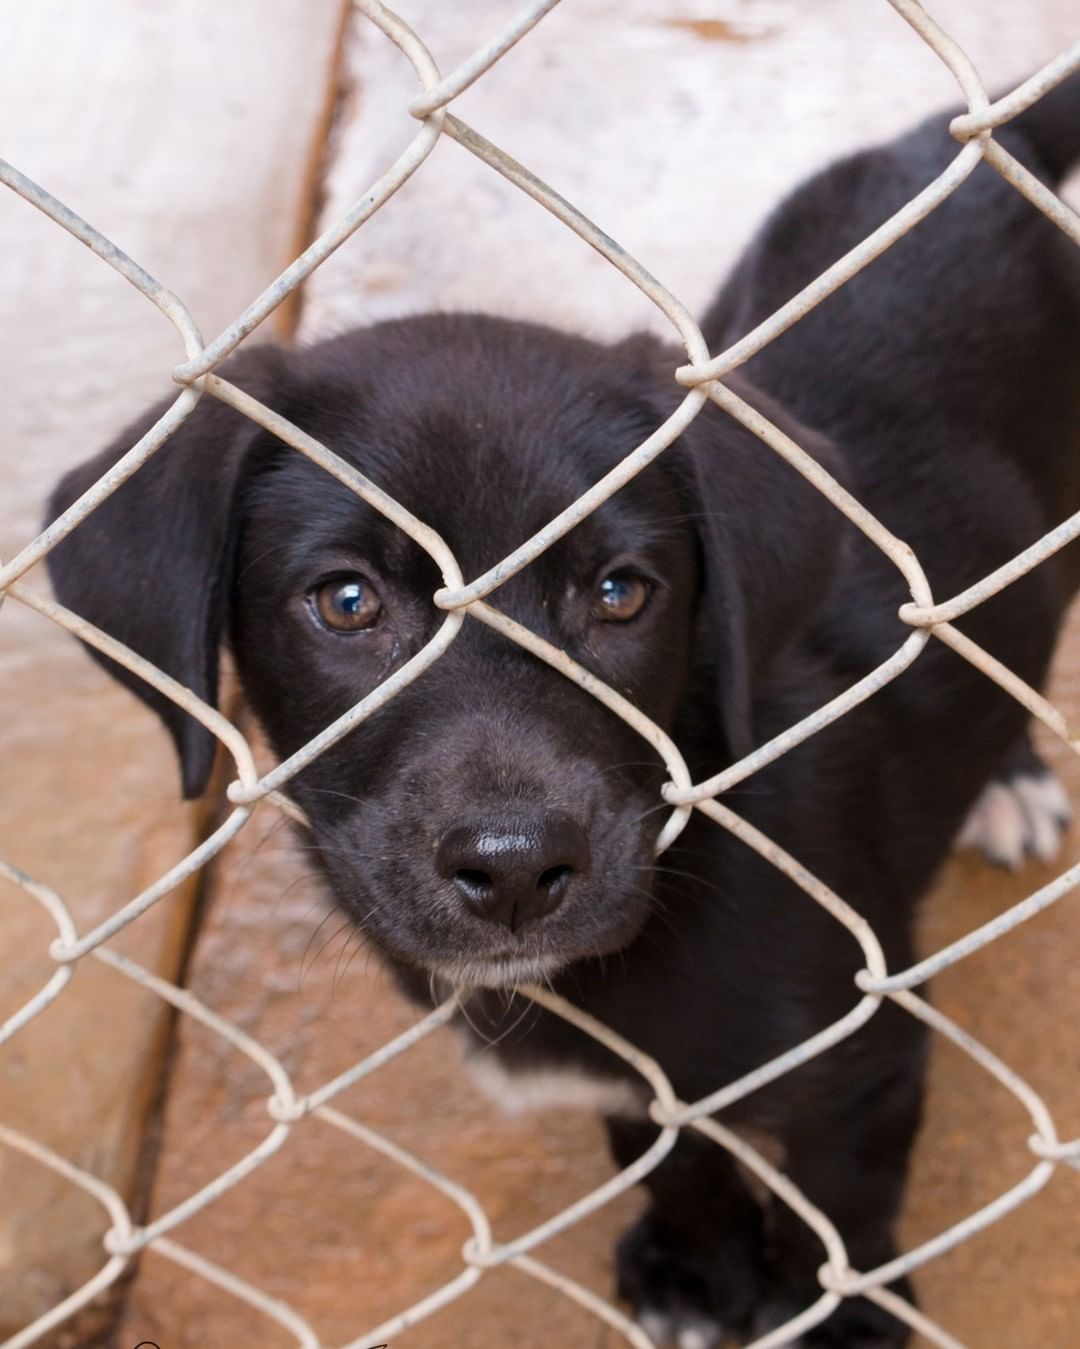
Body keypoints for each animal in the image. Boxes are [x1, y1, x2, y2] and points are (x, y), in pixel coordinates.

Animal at [44, 78, 1078, 1343]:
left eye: (621, 592)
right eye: (346, 601)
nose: (515, 870)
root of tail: (957, 148)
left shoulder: (868, 1059)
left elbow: (846, 1220)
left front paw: (842, 1318)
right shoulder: (631, 1081)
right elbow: (666, 1149)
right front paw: (693, 1266)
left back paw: (1011, 773)